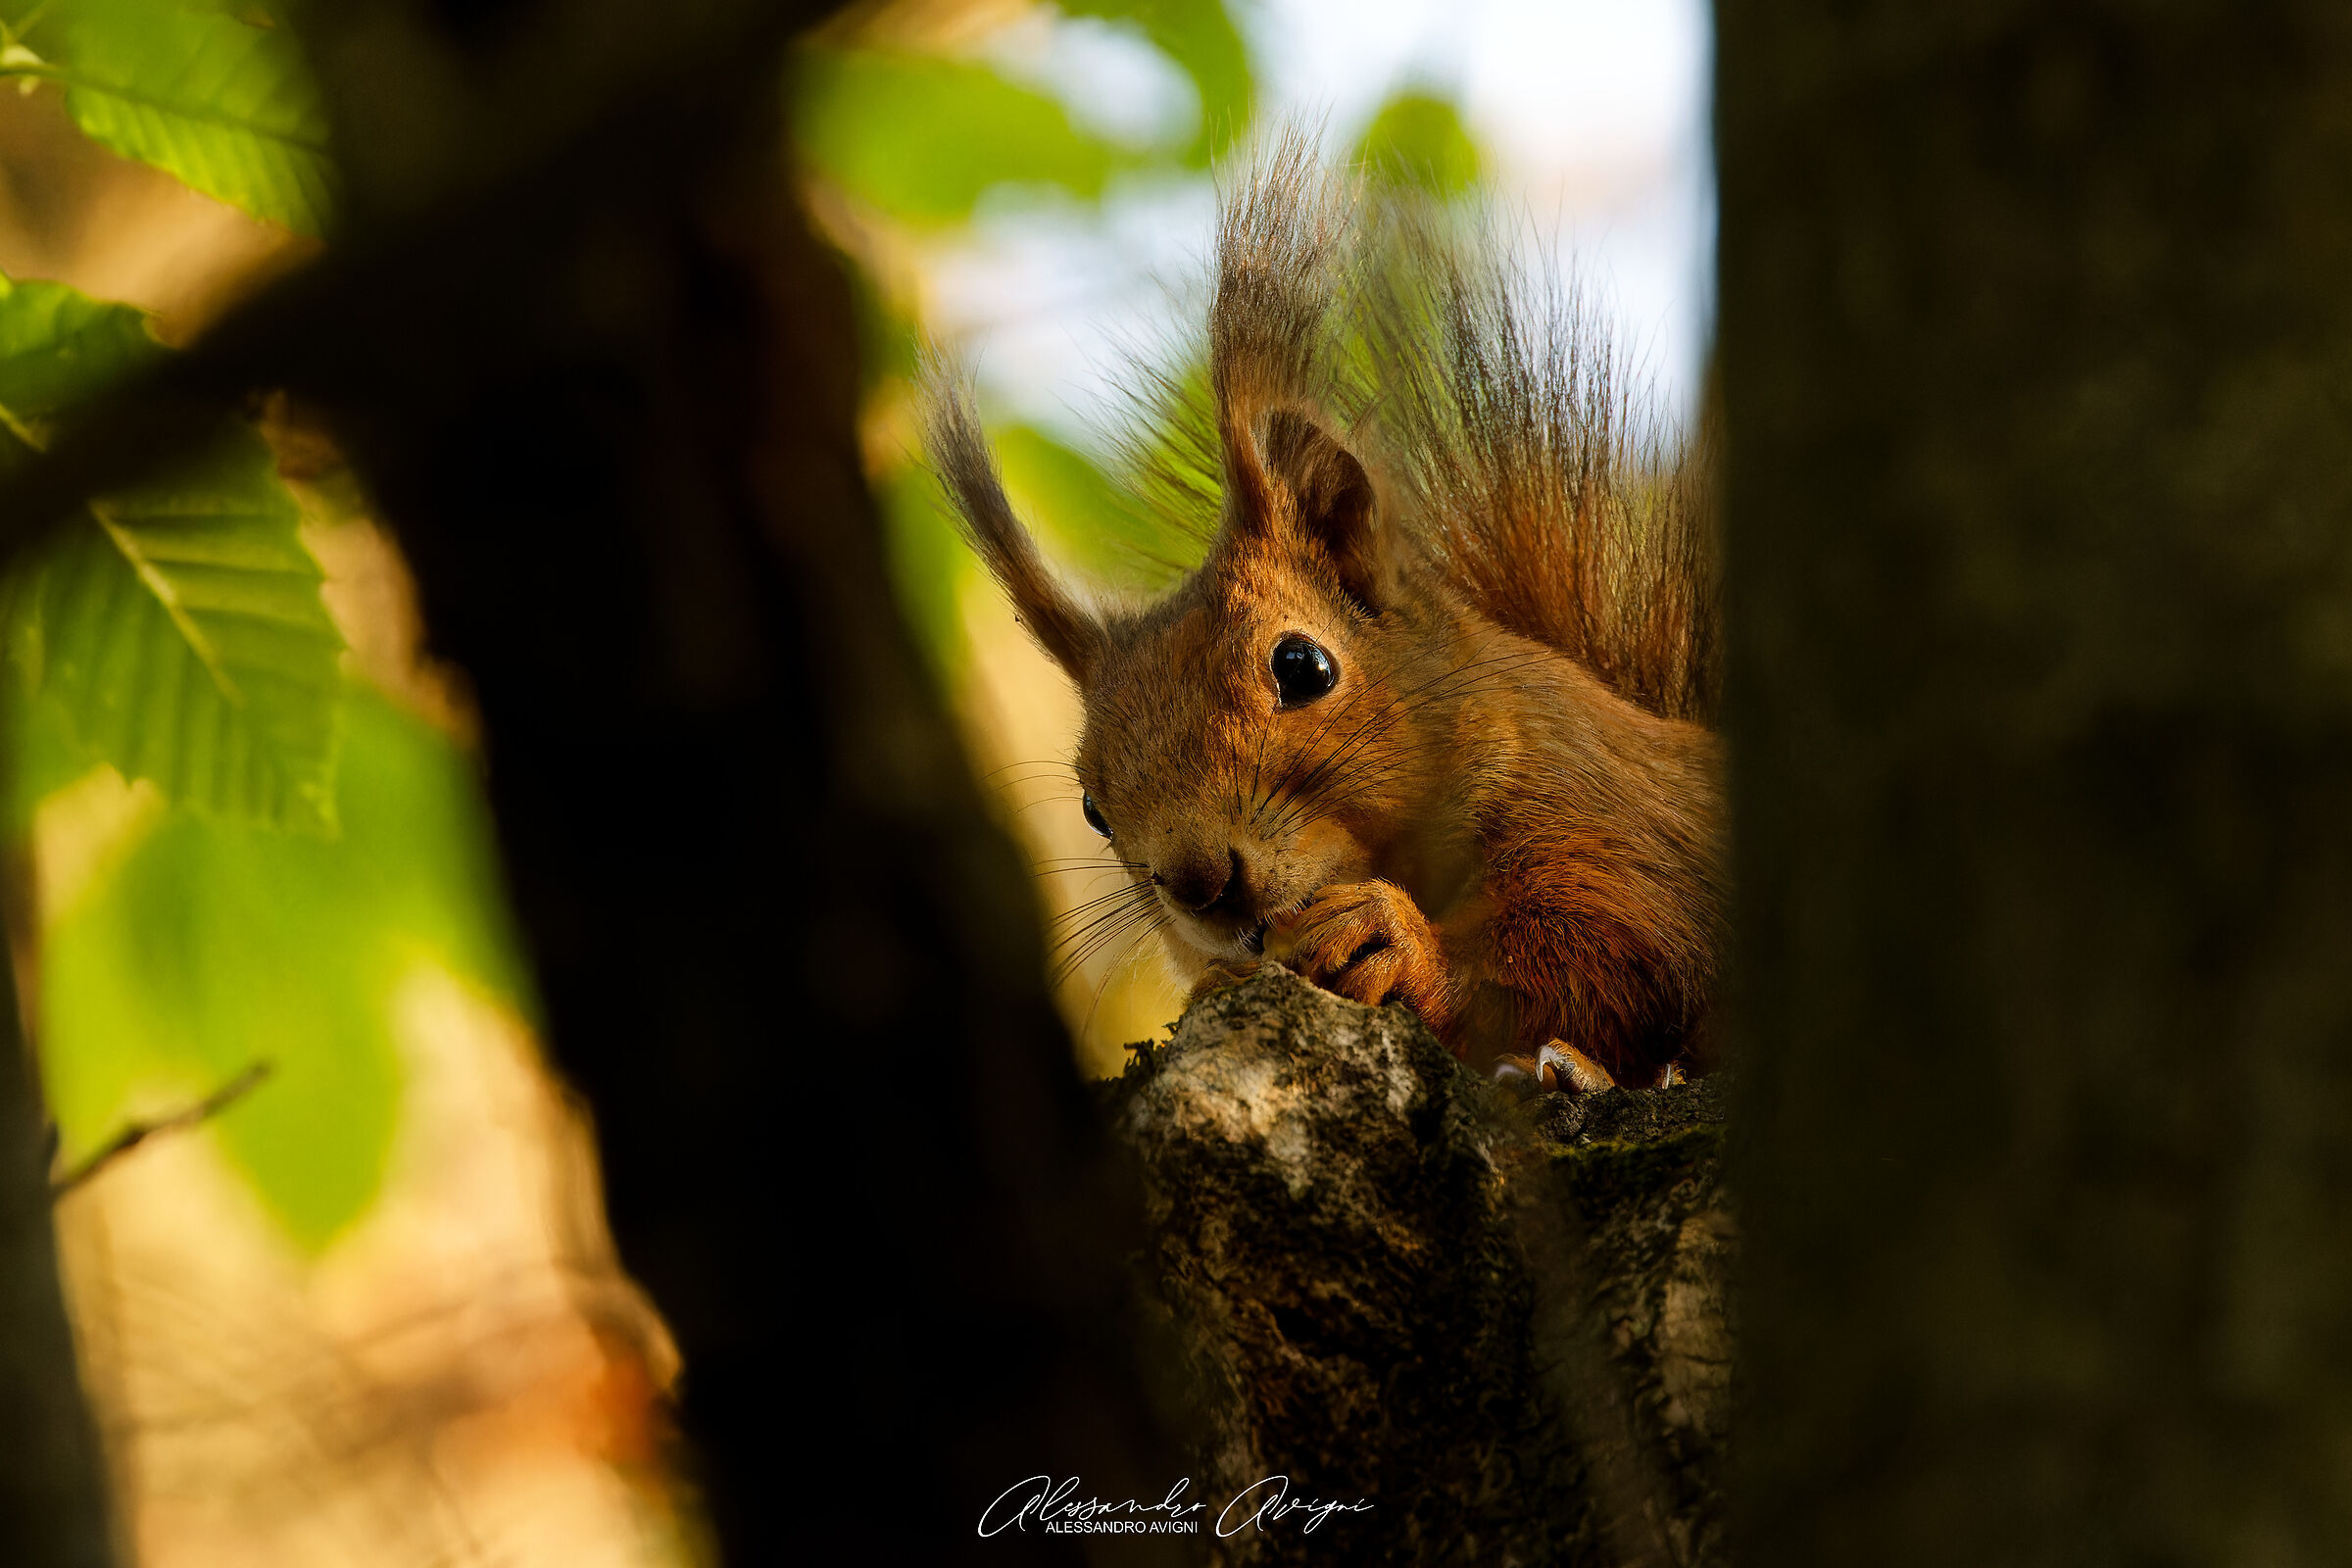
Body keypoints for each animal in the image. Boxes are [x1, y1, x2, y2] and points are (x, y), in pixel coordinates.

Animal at [928, 141, 1725, 1092]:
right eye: (1091, 806)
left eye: (1303, 666)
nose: (1198, 884)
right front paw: (1221, 984)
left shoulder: (1615, 817)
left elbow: (1622, 950)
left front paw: (1398, 941)